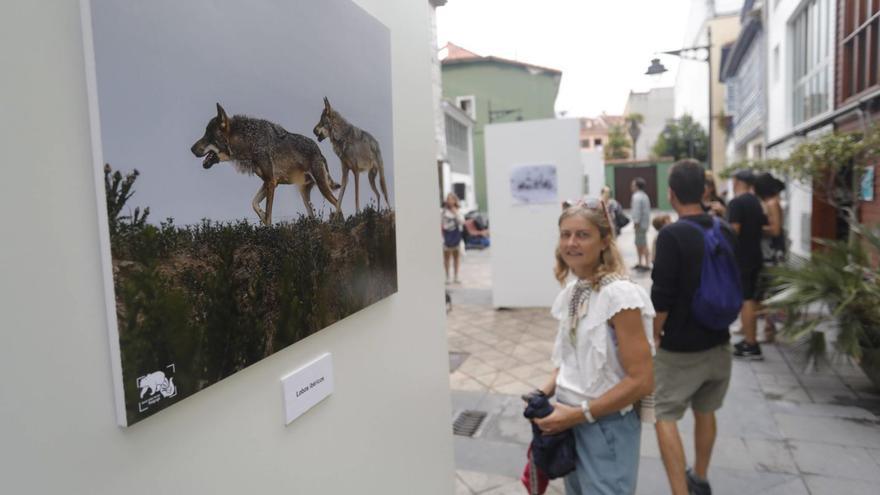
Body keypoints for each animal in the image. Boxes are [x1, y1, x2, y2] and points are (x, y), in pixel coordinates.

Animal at [192, 103, 340, 226]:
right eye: (205, 134)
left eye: (208, 136)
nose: (191, 149)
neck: (251, 142)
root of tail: (319, 152)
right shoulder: (268, 182)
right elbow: (254, 203)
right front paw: (262, 216)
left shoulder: (271, 182)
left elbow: (269, 215)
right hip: (304, 195)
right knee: (314, 216)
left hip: (322, 187)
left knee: (337, 203)